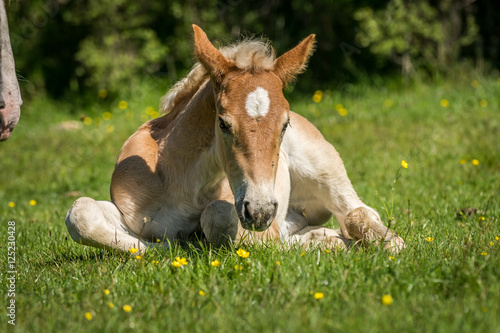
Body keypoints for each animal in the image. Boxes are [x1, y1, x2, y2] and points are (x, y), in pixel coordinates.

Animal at [66, 26, 404, 253]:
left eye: (285, 124)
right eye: (224, 124)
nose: (260, 211)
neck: (181, 183)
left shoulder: (250, 220)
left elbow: (219, 216)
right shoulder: (126, 209)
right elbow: (81, 215)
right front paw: (172, 248)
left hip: (325, 169)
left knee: (357, 213)